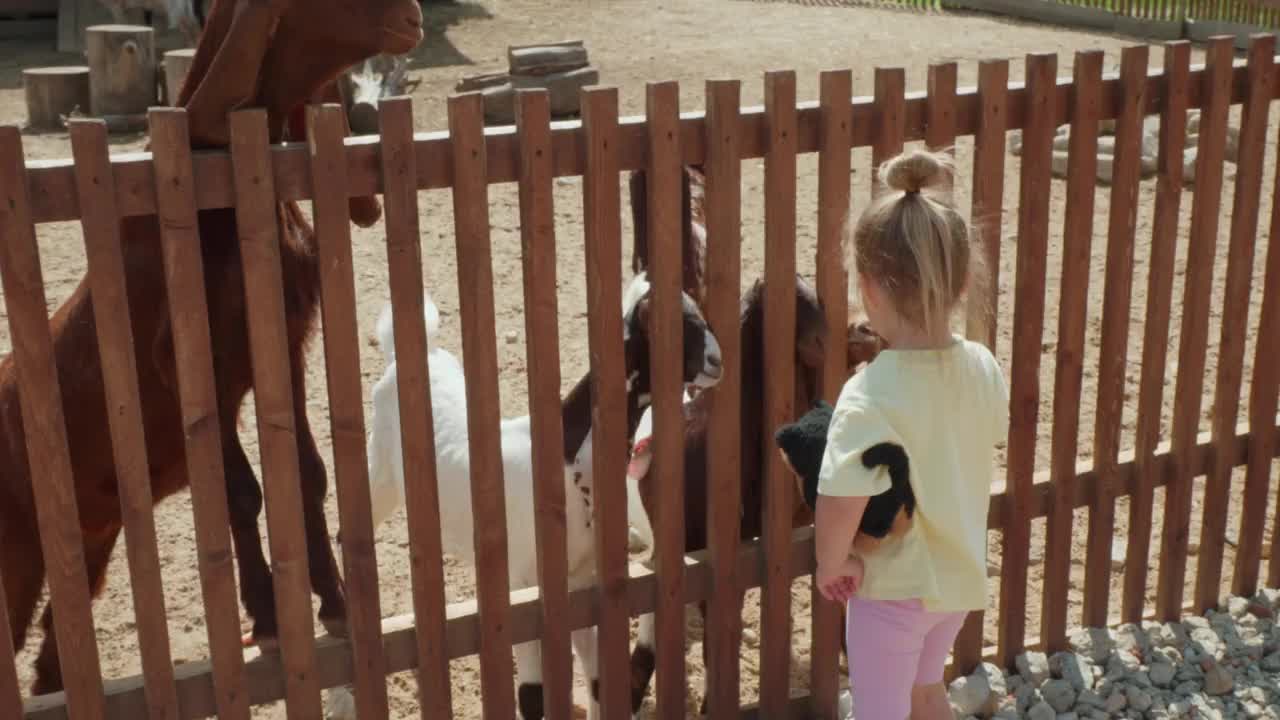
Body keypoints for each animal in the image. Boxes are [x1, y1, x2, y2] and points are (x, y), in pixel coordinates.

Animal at [0, 0, 424, 691]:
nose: (411, 17)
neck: (221, 208)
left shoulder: (285, 348)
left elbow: (309, 473)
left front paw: (334, 602)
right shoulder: (195, 370)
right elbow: (241, 491)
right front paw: (270, 617)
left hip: (86, 541)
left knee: (53, 644)